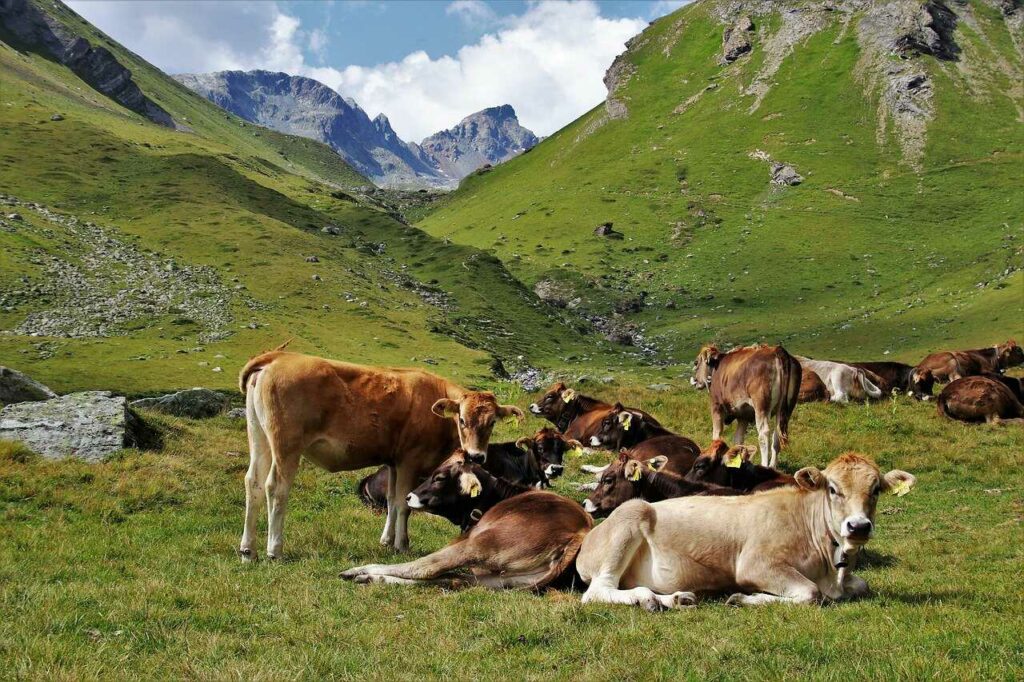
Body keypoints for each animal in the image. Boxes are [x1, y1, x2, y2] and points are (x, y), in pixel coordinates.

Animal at [234, 348, 520, 557]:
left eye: (492, 422)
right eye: (461, 419)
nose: (476, 456)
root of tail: (278, 357)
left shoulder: (393, 462)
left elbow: (392, 501)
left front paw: (386, 541)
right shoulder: (409, 461)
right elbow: (404, 504)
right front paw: (402, 545)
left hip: (259, 437)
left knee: (253, 482)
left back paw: (248, 549)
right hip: (286, 445)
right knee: (275, 487)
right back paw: (274, 549)